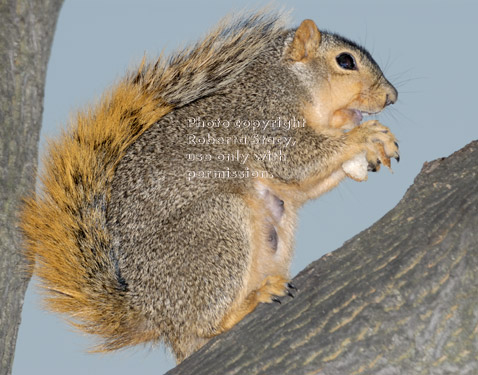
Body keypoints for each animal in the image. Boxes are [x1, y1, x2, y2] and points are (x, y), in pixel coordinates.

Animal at [20, 11, 398, 364]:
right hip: (215, 227)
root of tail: (154, 313)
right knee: (207, 323)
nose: (392, 97)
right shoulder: (264, 121)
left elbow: (303, 183)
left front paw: (368, 151)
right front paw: (366, 136)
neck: (289, 82)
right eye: (345, 61)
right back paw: (251, 301)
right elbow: (294, 159)